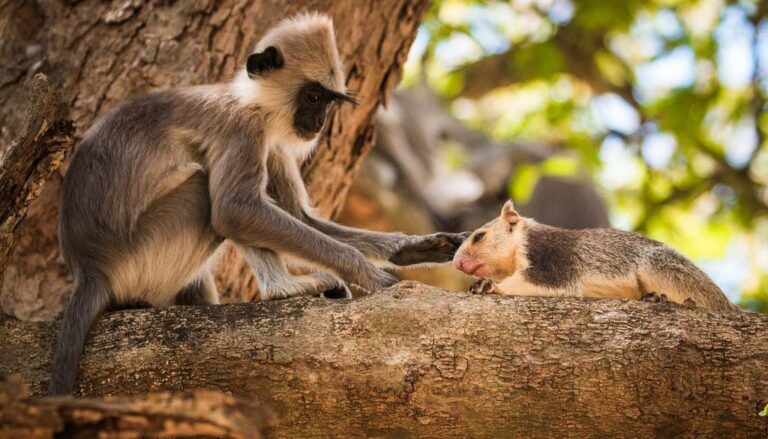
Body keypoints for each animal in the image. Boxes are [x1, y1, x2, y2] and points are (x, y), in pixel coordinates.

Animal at [50, 13, 467, 395]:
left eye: (328, 102)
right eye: (312, 97)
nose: (320, 122)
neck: (250, 101)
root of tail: (88, 266)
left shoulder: (275, 140)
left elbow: (300, 217)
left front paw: (412, 249)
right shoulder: (243, 126)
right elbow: (235, 210)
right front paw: (368, 273)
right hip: (142, 256)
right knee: (212, 195)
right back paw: (284, 290)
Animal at [453, 200, 735, 312]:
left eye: (479, 236)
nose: (456, 262)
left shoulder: (552, 256)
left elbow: (544, 282)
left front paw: (490, 286)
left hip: (660, 267)